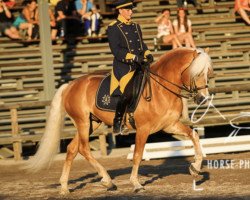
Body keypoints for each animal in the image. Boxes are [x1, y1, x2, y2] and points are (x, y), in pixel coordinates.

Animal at [24, 47, 213, 194]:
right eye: (196, 73)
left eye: (207, 74)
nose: (203, 99)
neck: (161, 88)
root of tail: (70, 85)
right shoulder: (143, 129)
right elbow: (137, 155)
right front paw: (136, 184)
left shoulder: (169, 125)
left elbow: (194, 136)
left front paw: (195, 168)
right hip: (83, 122)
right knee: (83, 149)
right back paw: (107, 180)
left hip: (92, 123)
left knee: (72, 149)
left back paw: (64, 187)